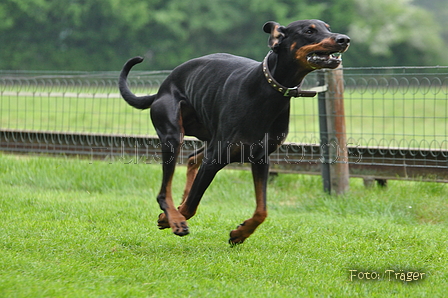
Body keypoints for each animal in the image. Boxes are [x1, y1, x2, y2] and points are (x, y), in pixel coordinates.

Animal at [119, 18, 350, 244]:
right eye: (309, 31)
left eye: (327, 27)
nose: (344, 39)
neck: (268, 91)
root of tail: (161, 89)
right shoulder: (214, 159)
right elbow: (192, 206)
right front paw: (171, 219)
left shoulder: (261, 158)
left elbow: (262, 210)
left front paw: (240, 233)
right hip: (173, 135)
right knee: (164, 190)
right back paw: (173, 217)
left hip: (208, 134)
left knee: (193, 158)